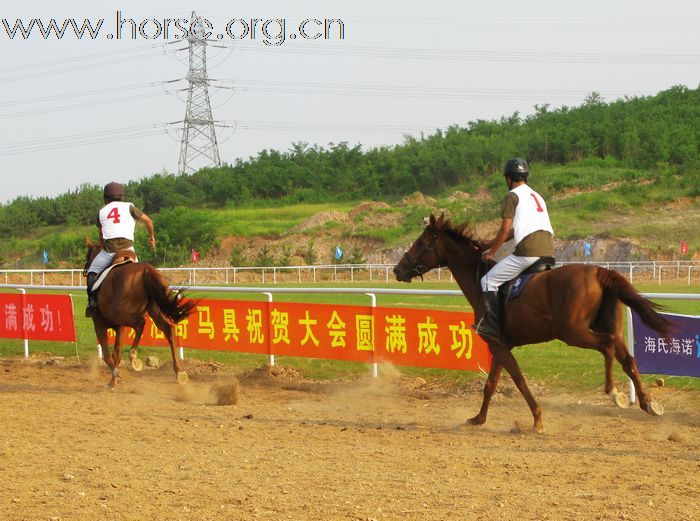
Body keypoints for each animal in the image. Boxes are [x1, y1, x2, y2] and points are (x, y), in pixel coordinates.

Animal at [84, 238, 197, 388]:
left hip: (123, 314)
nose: (85, 270)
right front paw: (114, 379)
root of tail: (146, 270)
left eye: (88, 256)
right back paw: (179, 371)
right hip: (153, 309)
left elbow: (109, 357)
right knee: (168, 329)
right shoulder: (120, 327)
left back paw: (134, 357)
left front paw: (114, 380)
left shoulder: (99, 324)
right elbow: (116, 355)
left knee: (140, 323)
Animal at [394, 213, 672, 432]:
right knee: (626, 357)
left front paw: (537, 418)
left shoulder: (499, 345)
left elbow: (518, 380)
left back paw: (613, 390)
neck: (480, 281)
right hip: (604, 328)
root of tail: (599, 271)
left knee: (607, 346)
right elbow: (490, 384)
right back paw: (647, 403)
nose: (398, 270)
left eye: (420, 243)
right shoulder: (499, 345)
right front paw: (479, 418)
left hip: (572, 332)